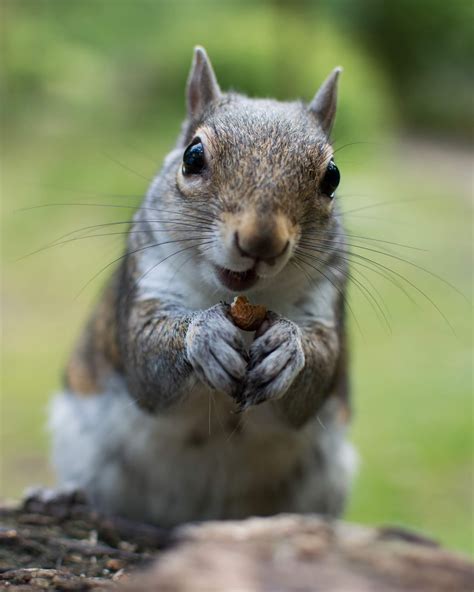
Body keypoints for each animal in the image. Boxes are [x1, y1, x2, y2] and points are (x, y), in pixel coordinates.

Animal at [50, 48, 358, 524]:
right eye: (192, 157)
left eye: (333, 177)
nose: (261, 241)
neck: (238, 298)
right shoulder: (145, 279)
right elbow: (147, 357)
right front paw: (206, 335)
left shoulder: (327, 296)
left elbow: (318, 370)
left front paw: (289, 348)